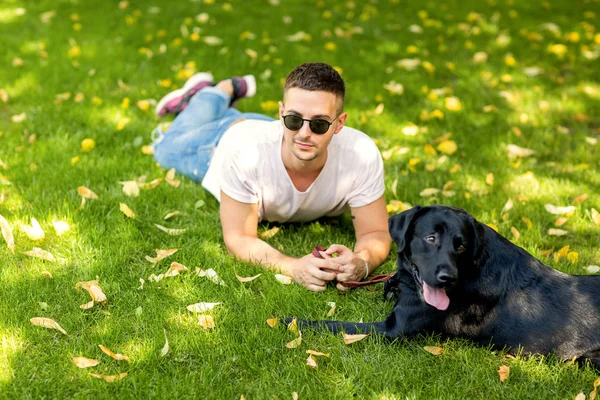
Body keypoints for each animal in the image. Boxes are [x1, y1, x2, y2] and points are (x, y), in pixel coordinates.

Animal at [292, 206, 600, 368]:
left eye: (461, 245)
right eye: (430, 238)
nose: (447, 278)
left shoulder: (392, 330)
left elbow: (332, 324)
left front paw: (290, 321)